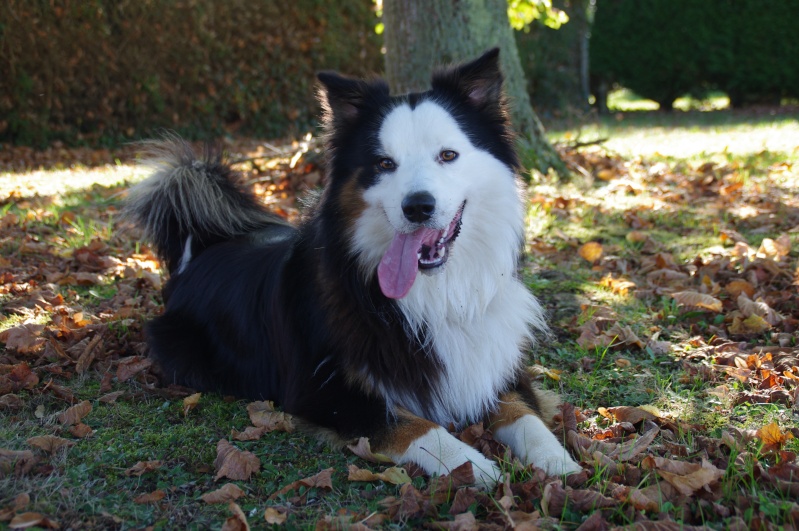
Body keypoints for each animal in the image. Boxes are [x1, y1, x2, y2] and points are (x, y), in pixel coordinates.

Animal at [130, 48, 580, 486]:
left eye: (448, 155)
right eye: (384, 163)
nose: (418, 207)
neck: (436, 294)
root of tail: (201, 250)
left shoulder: (494, 369)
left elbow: (527, 417)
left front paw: (560, 465)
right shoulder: (321, 391)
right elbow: (416, 425)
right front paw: (472, 465)